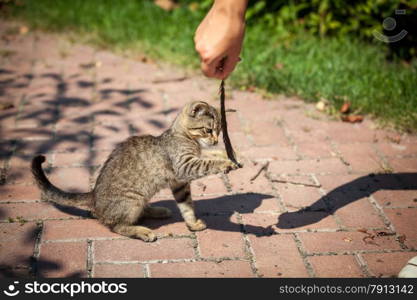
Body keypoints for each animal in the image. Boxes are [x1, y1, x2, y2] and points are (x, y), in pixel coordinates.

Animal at [32, 101, 239, 241]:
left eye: (219, 132)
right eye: (208, 130)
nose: (215, 141)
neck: (185, 137)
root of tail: (94, 195)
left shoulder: (179, 183)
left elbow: (186, 205)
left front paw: (192, 223)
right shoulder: (184, 166)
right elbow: (207, 162)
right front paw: (224, 163)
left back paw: (157, 210)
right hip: (132, 199)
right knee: (115, 225)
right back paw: (142, 231)